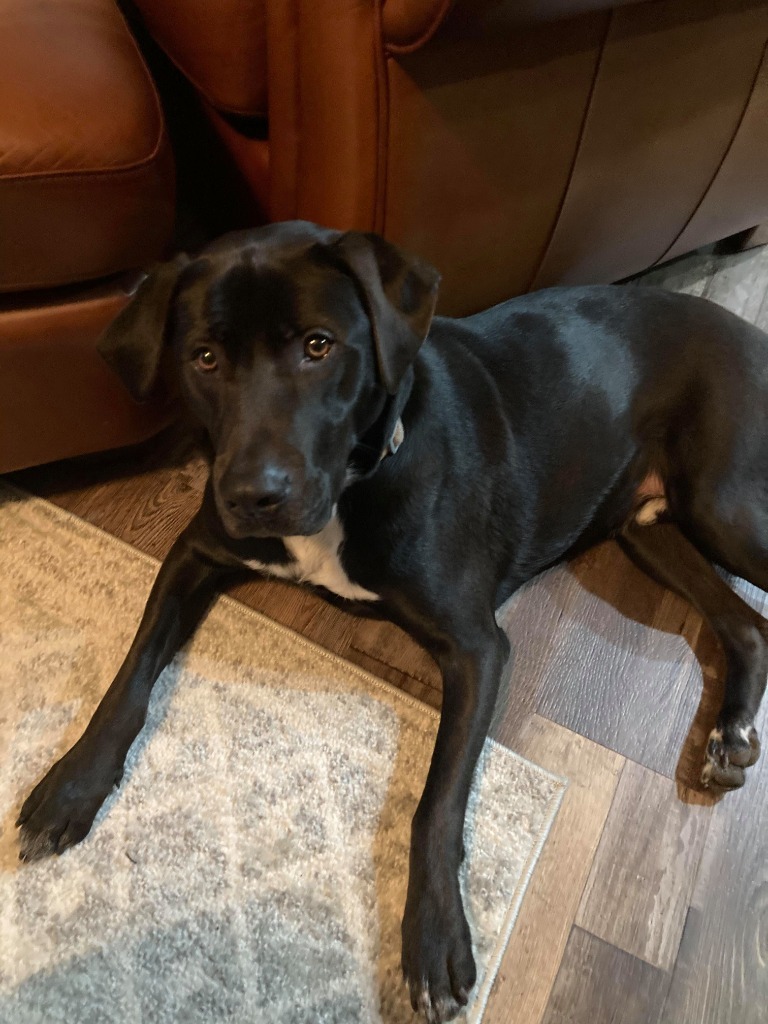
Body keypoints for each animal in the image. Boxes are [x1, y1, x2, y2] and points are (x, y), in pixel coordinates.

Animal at [16, 220, 768, 1019]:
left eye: (318, 345)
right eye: (205, 357)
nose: (254, 495)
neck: (355, 477)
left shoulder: (476, 647)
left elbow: (435, 805)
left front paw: (434, 938)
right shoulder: (195, 551)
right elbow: (130, 673)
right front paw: (71, 783)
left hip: (722, 502)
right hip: (649, 525)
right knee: (745, 624)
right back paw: (730, 734)